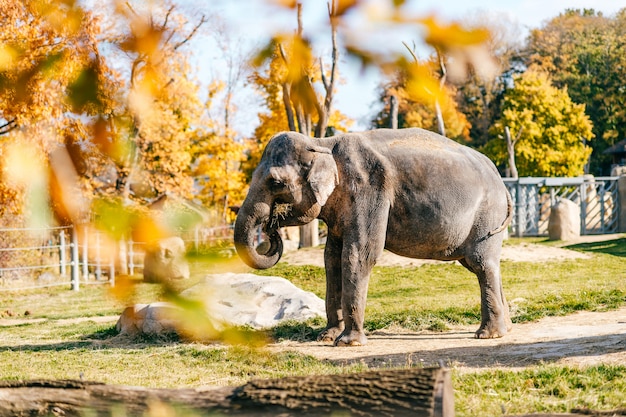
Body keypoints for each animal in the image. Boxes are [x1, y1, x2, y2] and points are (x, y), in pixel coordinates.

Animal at [234, 128, 512, 346]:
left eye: (276, 183)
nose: (272, 227)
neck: (323, 143)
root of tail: (501, 181)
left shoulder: (369, 189)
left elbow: (359, 254)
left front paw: (348, 343)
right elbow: (331, 259)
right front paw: (326, 337)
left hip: (487, 213)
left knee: (481, 264)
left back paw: (488, 335)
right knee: (484, 266)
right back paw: (505, 328)